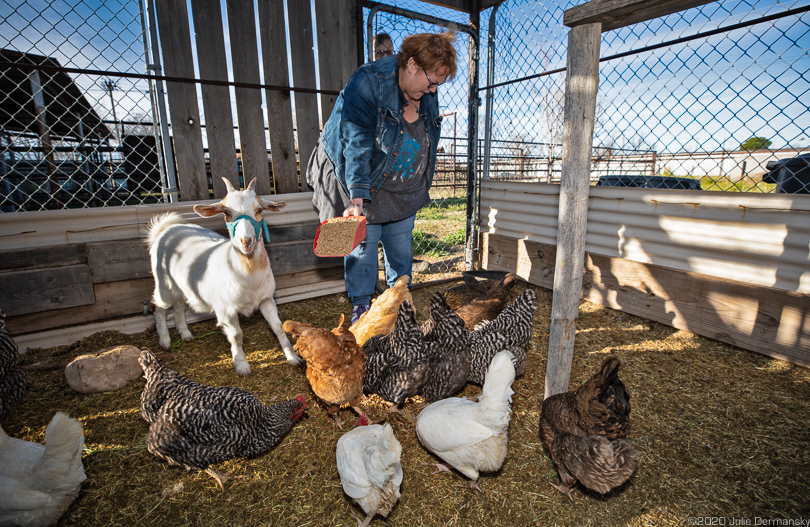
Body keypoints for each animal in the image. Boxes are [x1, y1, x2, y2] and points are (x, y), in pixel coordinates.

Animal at [144, 177, 300, 376]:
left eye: (259, 210)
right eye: (226, 212)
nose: (246, 241)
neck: (249, 275)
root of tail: (168, 227)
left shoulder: (266, 299)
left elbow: (278, 327)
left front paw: (292, 357)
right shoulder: (226, 310)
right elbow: (236, 335)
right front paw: (241, 365)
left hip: (182, 286)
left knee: (179, 307)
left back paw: (186, 335)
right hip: (163, 283)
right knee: (160, 307)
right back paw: (164, 341)